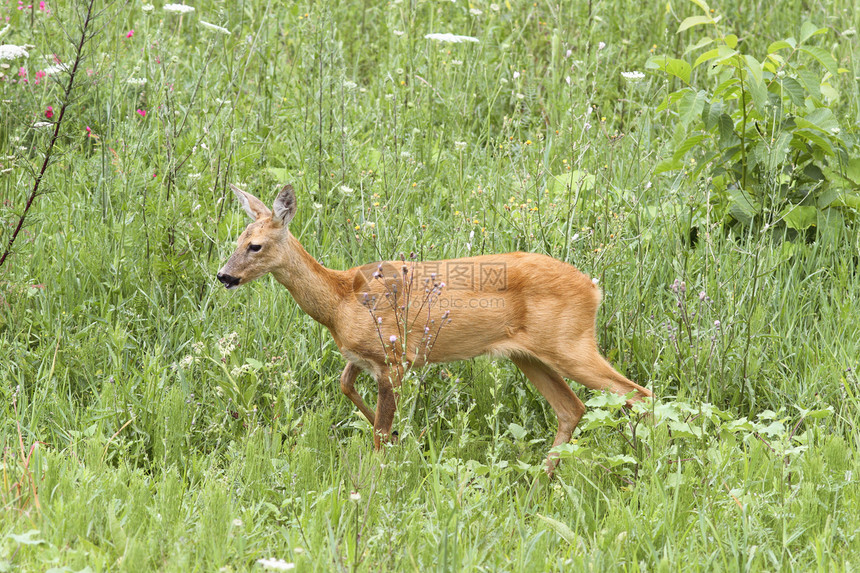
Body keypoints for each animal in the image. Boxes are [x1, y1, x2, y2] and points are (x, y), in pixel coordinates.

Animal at [215, 183, 652, 474]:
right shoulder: (362, 356)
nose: (223, 276)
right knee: (572, 408)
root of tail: (594, 288)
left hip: (571, 343)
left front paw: (379, 473)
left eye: (255, 245)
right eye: (237, 239)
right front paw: (404, 440)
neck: (340, 302)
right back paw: (541, 481)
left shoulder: (393, 358)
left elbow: (378, 430)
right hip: (529, 356)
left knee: (638, 393)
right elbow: (345, 386)